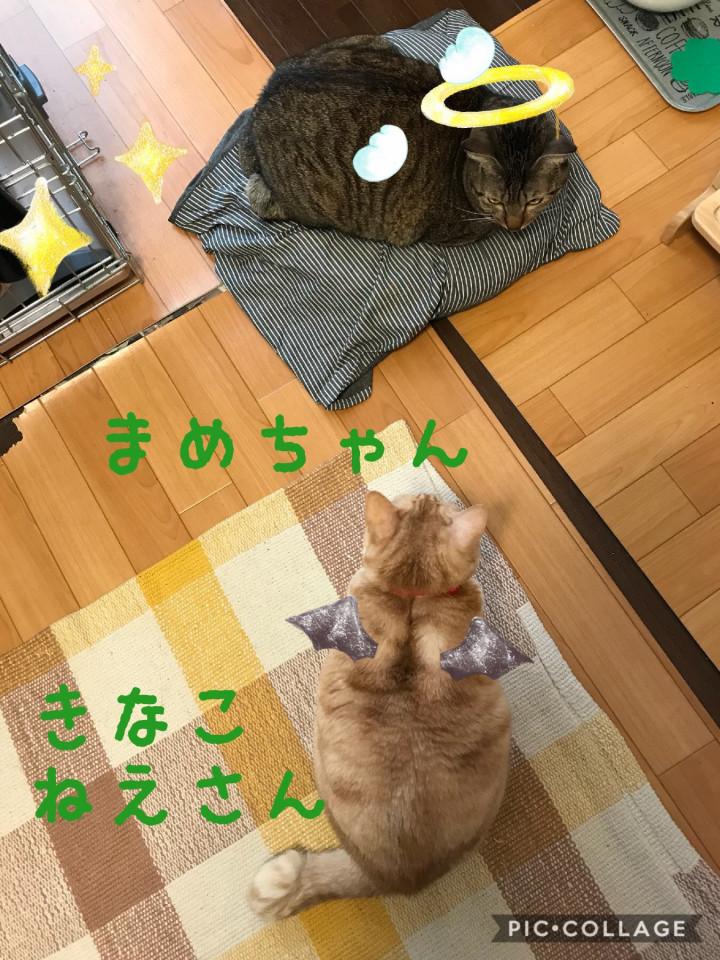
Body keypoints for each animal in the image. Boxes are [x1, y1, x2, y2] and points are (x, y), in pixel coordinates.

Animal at [237, 35, 576, 247]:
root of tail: (260, 106)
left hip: (372, 42)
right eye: (495, 201)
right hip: (302, 203)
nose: (515, 225)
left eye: (535, 200)